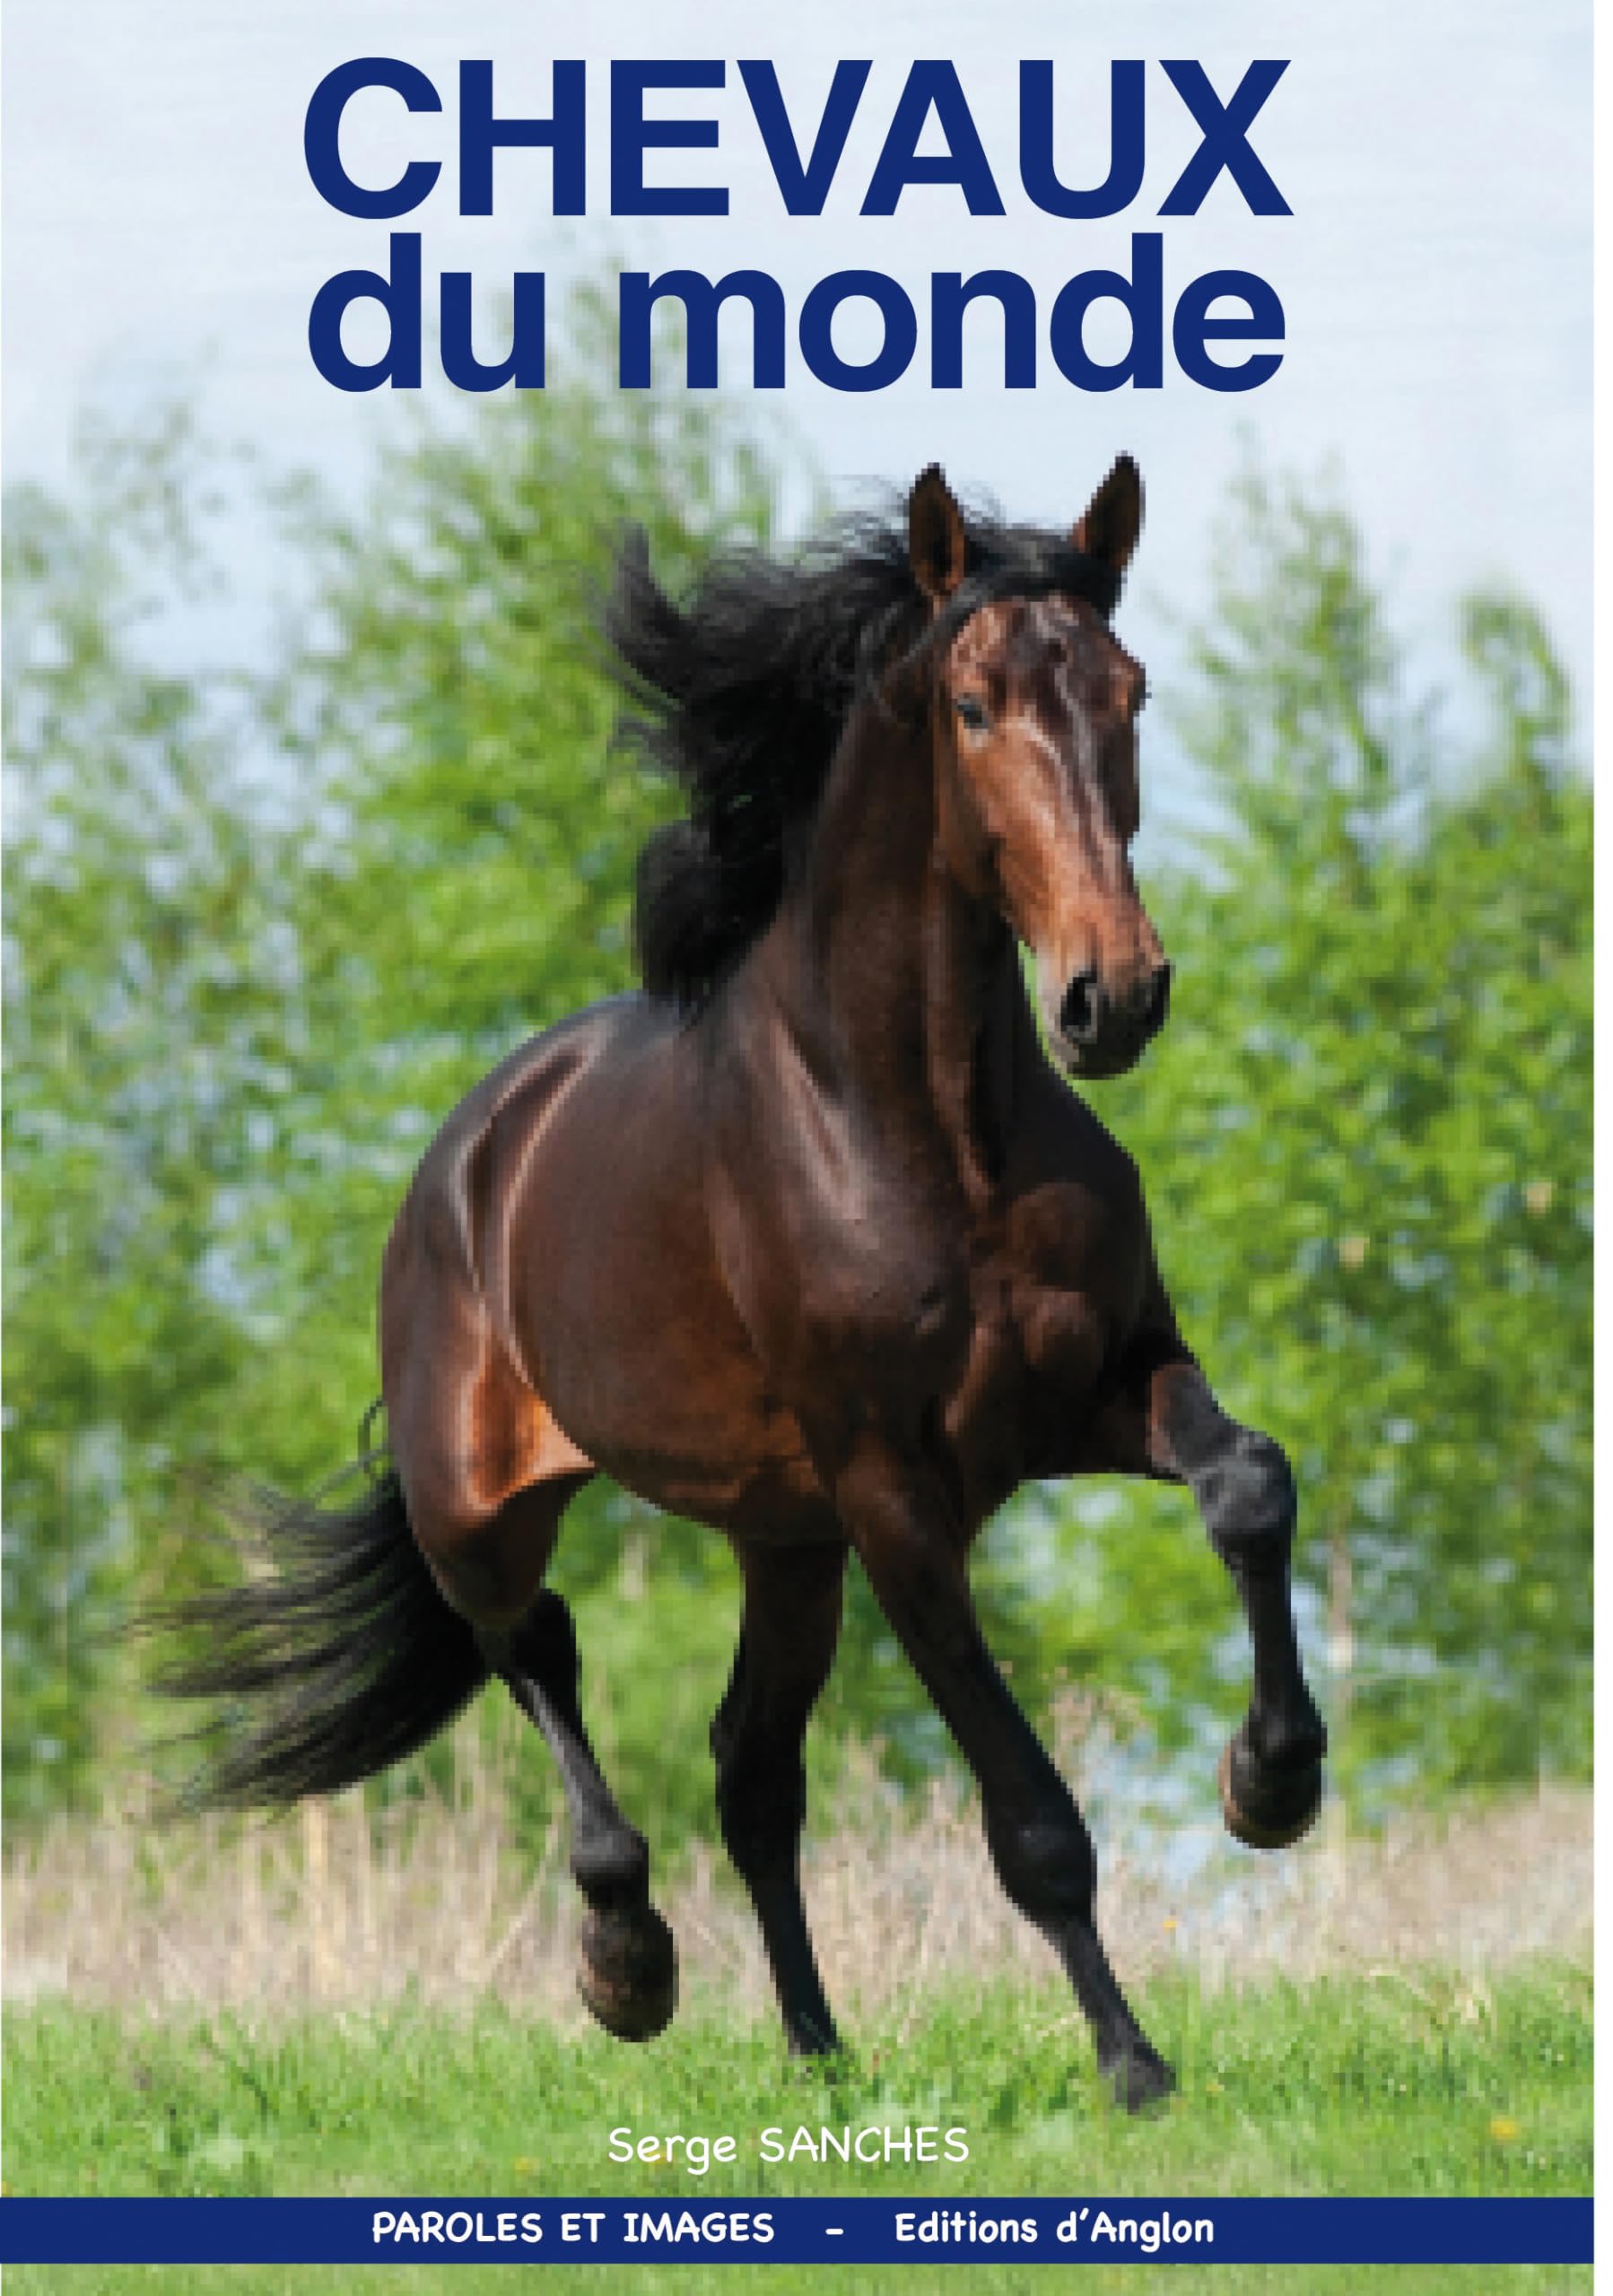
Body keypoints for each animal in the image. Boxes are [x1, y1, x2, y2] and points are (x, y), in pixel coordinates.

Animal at [163, 457, 1326, 2110]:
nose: (1114, 998)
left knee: (746, 1768)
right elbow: (1031, 1818)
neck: (924, 1130)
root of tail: (470, 1151)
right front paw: (1131, 2064)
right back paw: (627, 1966)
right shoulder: (895, 1494)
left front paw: (1267, 1785)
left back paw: (818, 2052)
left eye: (1130, 689)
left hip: (783, 1542)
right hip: (488, 1511)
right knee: (538, 1654)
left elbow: (1247, 1483)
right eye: (971, 705)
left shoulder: (1098, 1386)